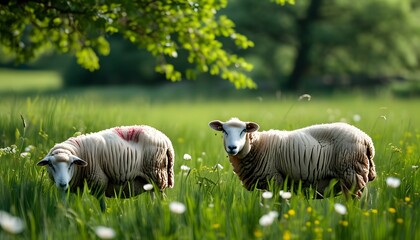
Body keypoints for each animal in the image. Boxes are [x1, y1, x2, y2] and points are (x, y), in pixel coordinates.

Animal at [36, 125, 174, 212]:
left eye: (71, 165)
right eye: (51, 165)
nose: (62, 183)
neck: (80, 150)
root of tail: (166, 139)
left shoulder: (98, 179)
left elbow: (102, 204)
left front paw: (103, 217)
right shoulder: (74, 186)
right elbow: (68, 203)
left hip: (157, 173)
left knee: (162, 197)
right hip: (150, 179)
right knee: (153, 195)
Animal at [210, 118, 378, 199]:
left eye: (244, 130)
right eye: (224, 130)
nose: (232, 147)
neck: (257, 146)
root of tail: (367, 140)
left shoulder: (274, 180)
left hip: (351, 174)